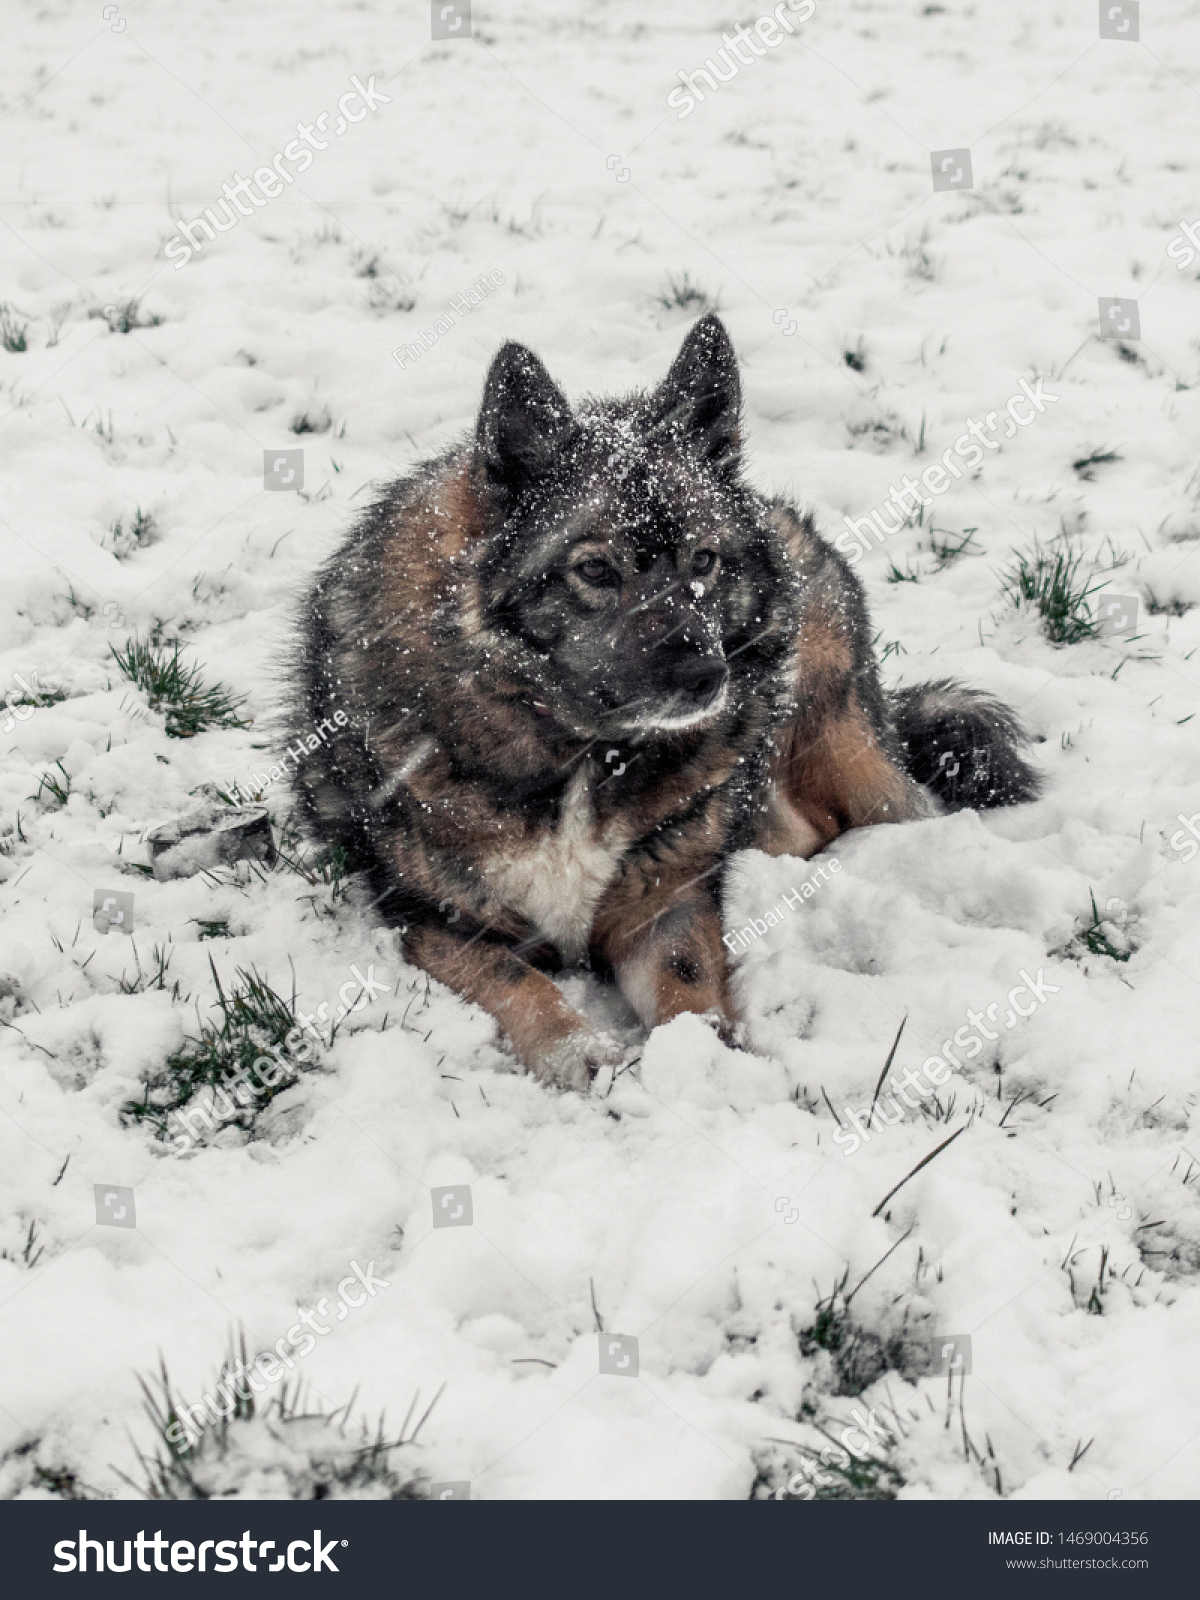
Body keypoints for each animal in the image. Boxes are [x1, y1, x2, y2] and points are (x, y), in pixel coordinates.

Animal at [294, 312, 1043, 1088]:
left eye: (704, 562)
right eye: (595, 569)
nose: (707, 677)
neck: (581, 750)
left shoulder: (667, 904)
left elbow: (685, 978)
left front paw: (706, 1064)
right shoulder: (434, 921)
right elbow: (513, 978)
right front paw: (578, 1049)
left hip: (844, 744)